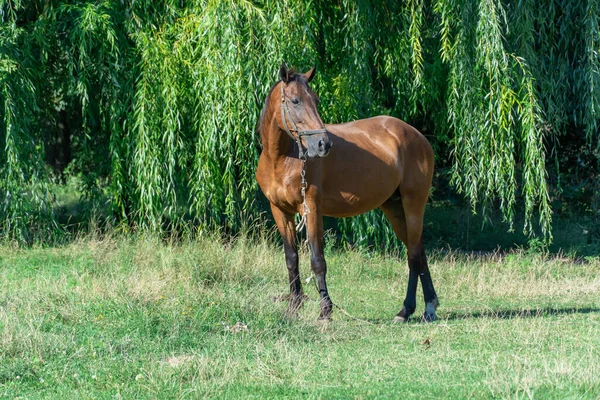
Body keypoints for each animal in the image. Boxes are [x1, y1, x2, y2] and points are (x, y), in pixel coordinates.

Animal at [255, 63, 438, 322]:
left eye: (316, 100)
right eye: (295, 101)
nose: (323, 144)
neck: (281, 159)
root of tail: (417, 136)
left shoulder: (311, 209)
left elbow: (317, 259)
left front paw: (325, 311)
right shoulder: (280, 211)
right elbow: (291, 258)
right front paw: (293, 307)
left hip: (413, 204)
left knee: (413, 254)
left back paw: (406, 310)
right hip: (394, 208)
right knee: (419, 251)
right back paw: (427, 306)